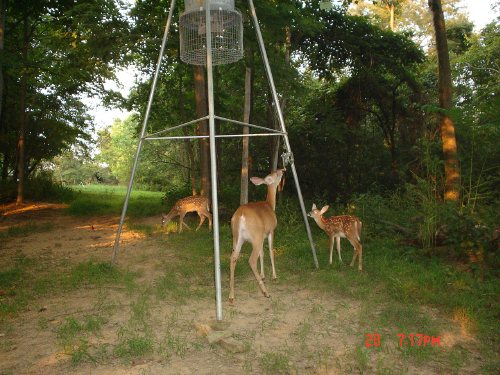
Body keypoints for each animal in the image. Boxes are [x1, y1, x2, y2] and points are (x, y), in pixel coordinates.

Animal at [228, 169, 284, 304]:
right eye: (275, 174)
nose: (282, 170)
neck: (269, 205)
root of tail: (240, 215)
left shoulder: (262, 235)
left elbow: (262, 254)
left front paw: (263, 276)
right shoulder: (270, 231)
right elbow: (270, 252)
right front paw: (274, 277)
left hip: (237, 238)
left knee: (232, 258)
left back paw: (231, 296)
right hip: (255, 237)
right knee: (251, 260)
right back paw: (265, 292)